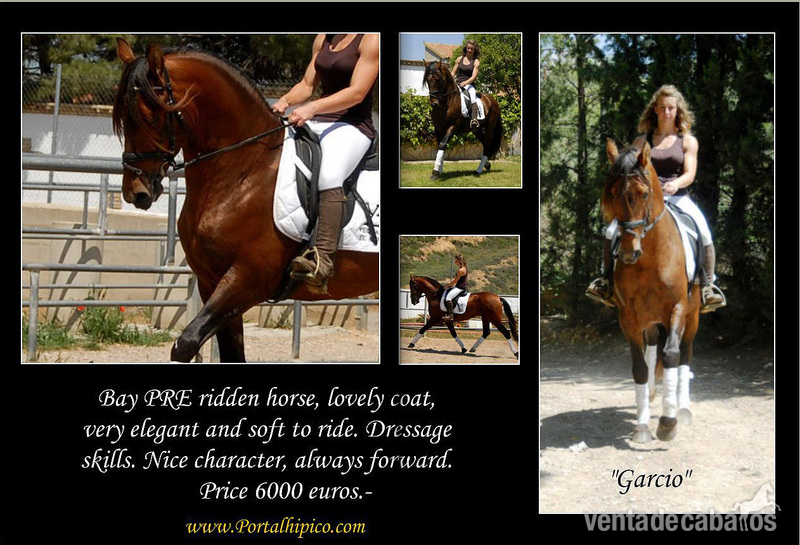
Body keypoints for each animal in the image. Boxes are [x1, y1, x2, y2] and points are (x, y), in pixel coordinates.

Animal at [112, 38, 378, 362]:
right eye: (122, 119)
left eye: (149, 117)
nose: (135, 192)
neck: (245, 170)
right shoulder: (211, 281)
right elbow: (230, 351)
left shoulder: (247, 281)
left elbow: (185, 344)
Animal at [602, 138, 701, 443]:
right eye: (612, 193)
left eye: (644, 194)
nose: (628, 252)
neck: (651, 258)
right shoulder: (628, 316)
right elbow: (639, 367)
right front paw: (643, 426)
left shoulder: (678, 308)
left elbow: (671, 356)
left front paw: (668, 422)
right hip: (649, 318)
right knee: (653, 345)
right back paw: (652, 395)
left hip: (693, 315)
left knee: (685, 352)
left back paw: (684, 410)